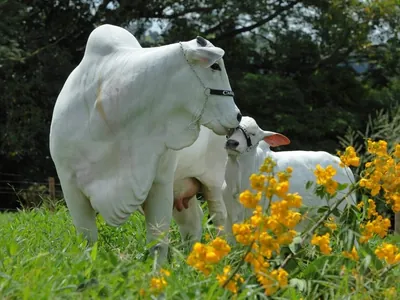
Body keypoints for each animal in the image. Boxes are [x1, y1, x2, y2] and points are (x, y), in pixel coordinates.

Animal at [48, 24, 241, 262]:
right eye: (215, 66)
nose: (237, 115)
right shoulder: (70, 186)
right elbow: (88, 240)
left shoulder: (160, 181)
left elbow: (157, 242)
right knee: (192, 223)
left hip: (213, 180)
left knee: (220, 218)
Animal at [222, 116, 356, 240]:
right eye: (231, 129)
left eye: (253, 134)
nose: (232, 143)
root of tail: (343, 164)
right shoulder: (229, 219)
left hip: (342, 215)